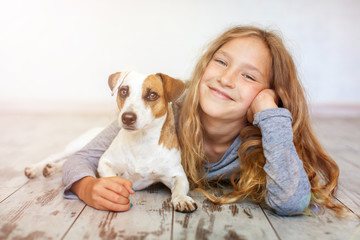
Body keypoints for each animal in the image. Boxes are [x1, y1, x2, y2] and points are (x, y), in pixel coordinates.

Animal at [25, 71, 197, 212]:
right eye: (123, 91)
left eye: (152, 95)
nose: (127, 117)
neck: (141, 141)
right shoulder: (104, 162)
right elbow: (109, 175)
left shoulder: (177, 174)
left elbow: (180, 187)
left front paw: (182, 199)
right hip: (78, 145)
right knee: (59, 156)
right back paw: (35, 168)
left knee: (65, 162)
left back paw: (51, 168)